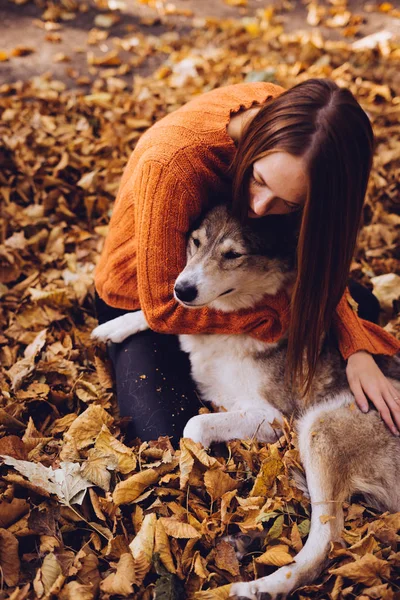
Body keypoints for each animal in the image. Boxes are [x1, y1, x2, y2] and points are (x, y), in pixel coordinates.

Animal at [92, 205, 400, 600]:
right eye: (196, 242)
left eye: (233, 254)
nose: (182, 288)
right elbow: (168, 318)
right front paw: (117, 325)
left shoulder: (273, 418)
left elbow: (195, 423)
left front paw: (190, 466)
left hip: (320, 425)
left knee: (325, 541)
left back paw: (258, 587)